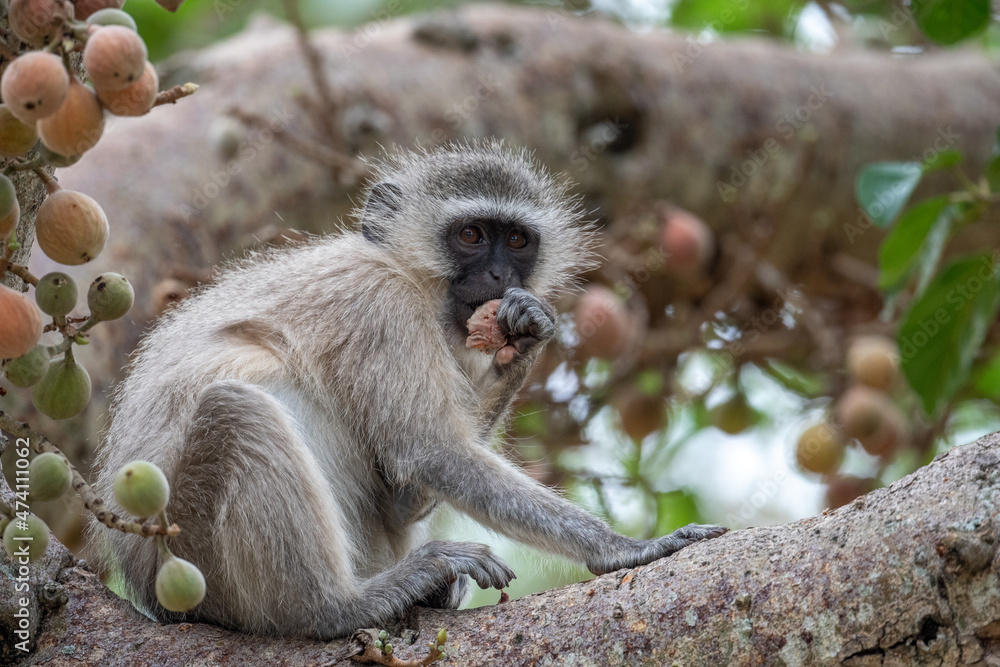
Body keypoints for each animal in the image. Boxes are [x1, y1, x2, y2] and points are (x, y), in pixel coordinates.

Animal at [92, 141, 726, 639]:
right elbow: (430, 449)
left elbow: (406, 491)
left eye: (518, 241)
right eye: (471, 235)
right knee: (236, 411)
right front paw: (622, 547)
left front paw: (527, 335)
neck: (412, 278)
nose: (501, 277)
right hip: (192, 556)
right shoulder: (380, 303)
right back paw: (339, 608)